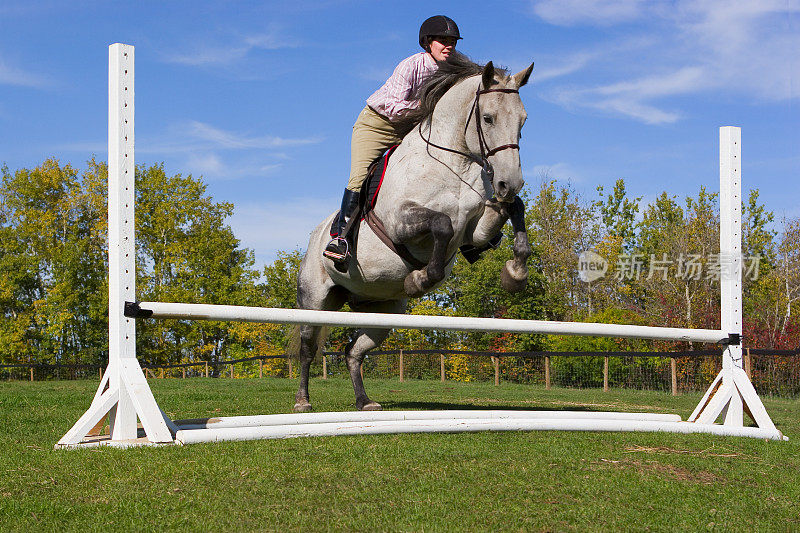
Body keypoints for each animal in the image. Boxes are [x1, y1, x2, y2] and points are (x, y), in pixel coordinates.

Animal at [292, 55, 532, 412]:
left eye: (523, 121)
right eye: (488, 118)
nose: (509, 182)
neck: (454, 164)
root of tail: (313, 240)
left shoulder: (475, 231)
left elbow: (513, 210)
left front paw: (515, 272)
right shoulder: (400, 220)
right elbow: (442, 224)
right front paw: (419, 279)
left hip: (384, 312)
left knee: (354, 351)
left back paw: (364, 402)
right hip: (314, 300)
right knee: (308, 347)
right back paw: (303, 402)